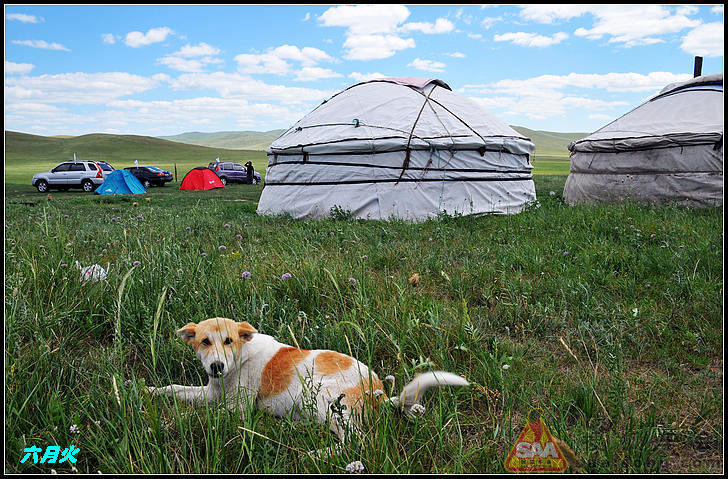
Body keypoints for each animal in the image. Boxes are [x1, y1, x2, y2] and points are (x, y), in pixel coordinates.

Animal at [145, 316, 470, 444]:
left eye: (228, 341)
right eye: (204, 342)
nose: (216, 366)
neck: (239, 360)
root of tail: (378, 392)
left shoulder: (236, 409)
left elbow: (198, 416)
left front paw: (166, 423)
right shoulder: (211, 392)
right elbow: (175, 388)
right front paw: (148, 390)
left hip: (327, 399)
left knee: (352, 443)